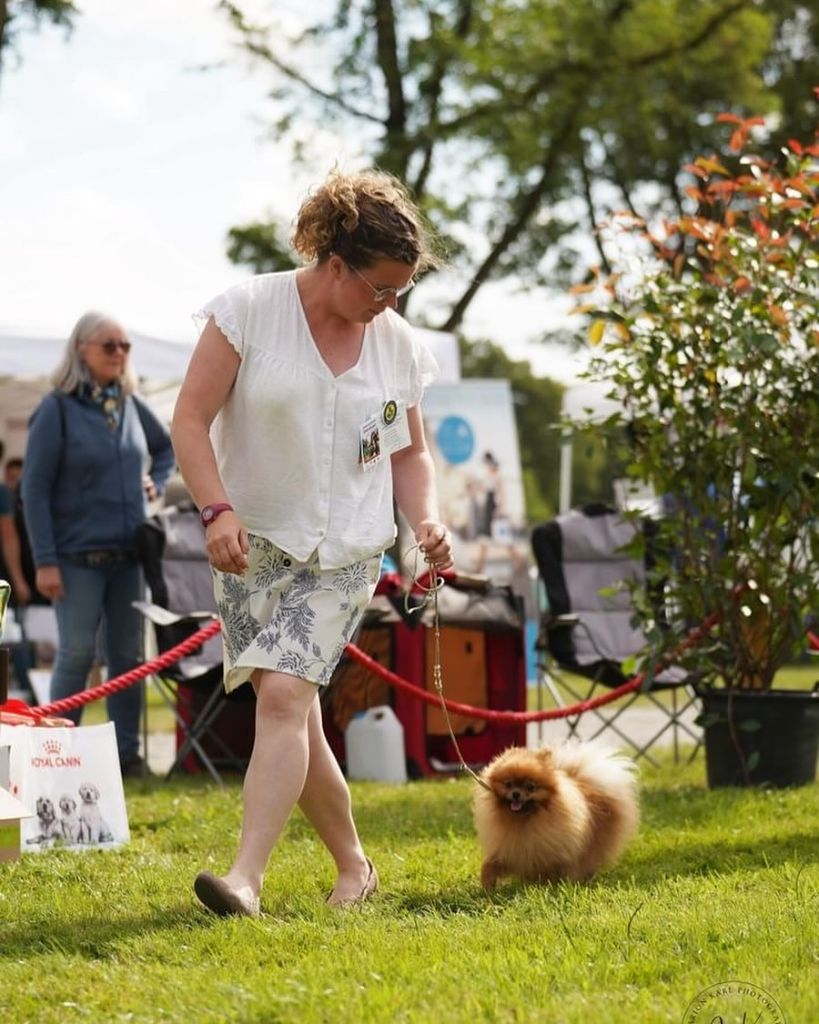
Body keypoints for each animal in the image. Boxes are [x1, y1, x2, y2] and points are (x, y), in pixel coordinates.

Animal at [472, 745, 638, 888]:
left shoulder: (548, 852)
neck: (524, 821)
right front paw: (487, 885)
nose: (516, 794)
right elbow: (490, 865)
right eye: (508, 784)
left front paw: (546, 886)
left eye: (530, 787)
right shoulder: (508, 850)